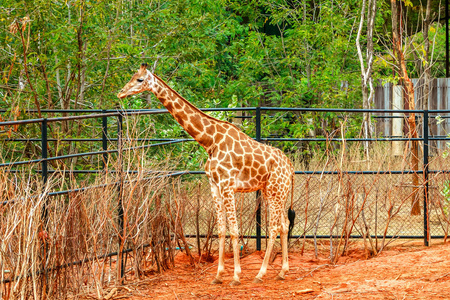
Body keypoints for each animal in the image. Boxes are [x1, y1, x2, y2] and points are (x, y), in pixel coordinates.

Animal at [118, 62, 298, 284]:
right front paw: (219, 275)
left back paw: (260, 274)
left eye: (140, 79)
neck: (209, 141)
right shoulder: (214, 185)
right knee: (284, 224)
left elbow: (234, 231)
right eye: (132, 76)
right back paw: (282, 271)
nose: (121, 93)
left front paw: (236, 276)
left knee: (273, 228)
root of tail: (290, 167)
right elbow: (221, 230)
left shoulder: (228, 185)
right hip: (274, 191)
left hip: (275, 191)